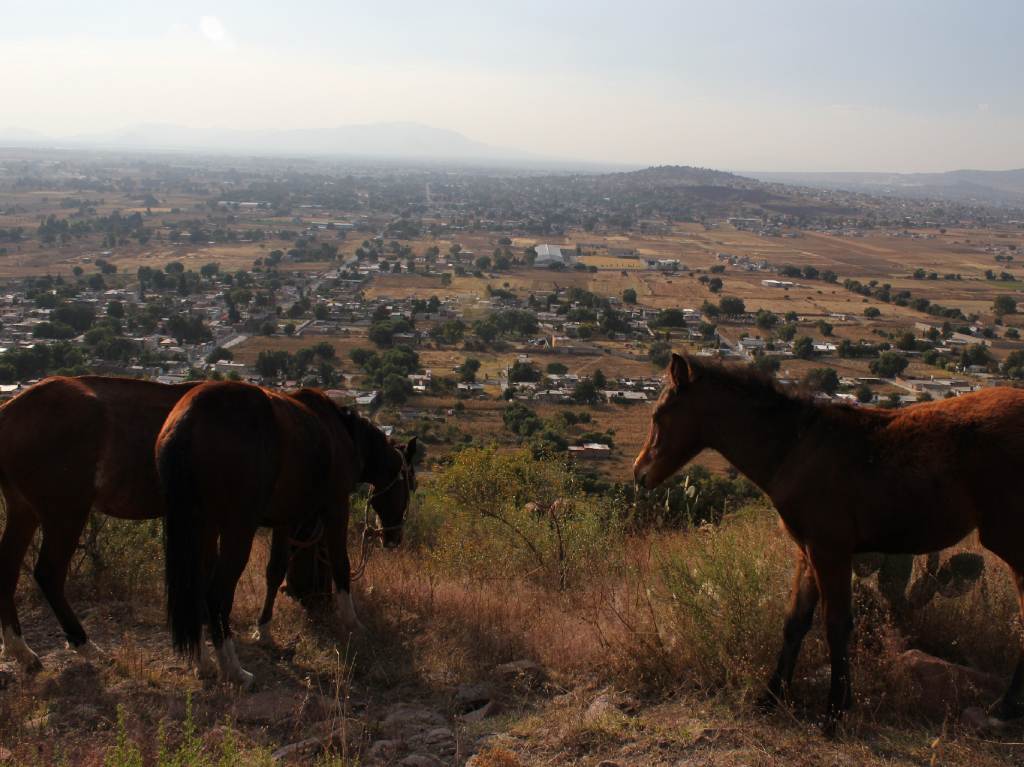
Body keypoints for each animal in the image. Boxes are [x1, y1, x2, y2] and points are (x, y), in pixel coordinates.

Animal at [156, 380, 411, 684]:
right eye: (408, 486)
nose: (394, 537)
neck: (343, 433)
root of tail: (188, 420)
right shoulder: (336, 507)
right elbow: (341, 564)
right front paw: (353, 622)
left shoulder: (284, 520)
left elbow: (275, 571)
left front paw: (263, 630)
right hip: (237, 529)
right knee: (217, 595)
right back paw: (234, 669)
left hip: (203, 526)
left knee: (196, 589)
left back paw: (202, 660)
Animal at [630, 352, 1024, 729]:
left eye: (658, 415)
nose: (639, 473)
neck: (795, 447)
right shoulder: (807, 552)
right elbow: (795, 623)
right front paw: (770, 698)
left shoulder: (830, 550)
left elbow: (836, 624)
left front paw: (834, 711)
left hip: (1010, 541)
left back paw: (1004, 709)